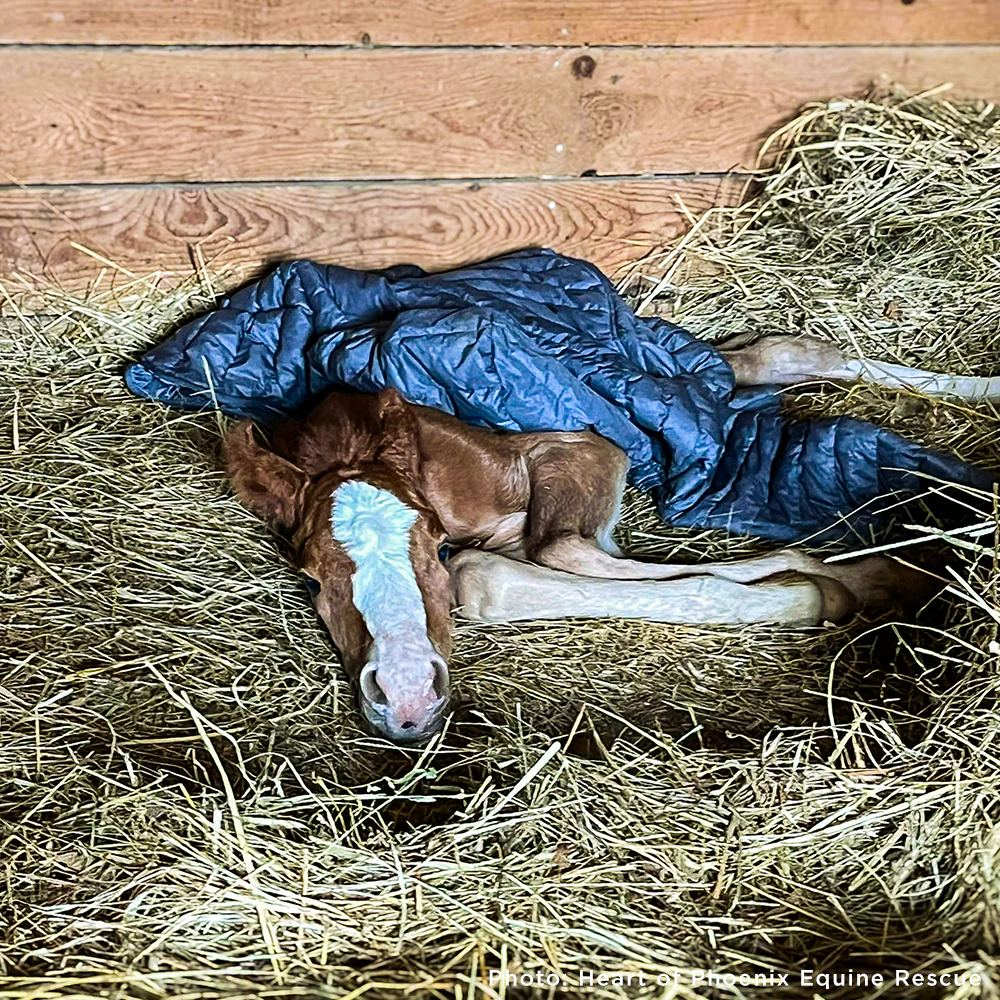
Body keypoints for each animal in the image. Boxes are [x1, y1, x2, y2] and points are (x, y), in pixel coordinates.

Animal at [225, 334, 997, 743]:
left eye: (431, 546)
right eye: (313, 579)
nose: (409, 697)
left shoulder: (583, 448)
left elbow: (511, 569)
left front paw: (833, 585)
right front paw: (873, 575)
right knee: (761, 356)